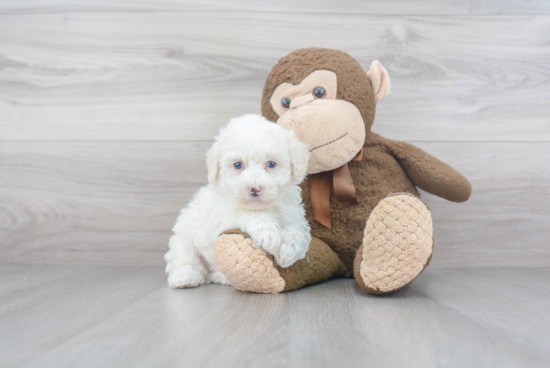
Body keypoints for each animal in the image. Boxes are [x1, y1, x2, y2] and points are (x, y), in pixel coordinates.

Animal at [164, 113, 312, 288]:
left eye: (271, 164)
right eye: (238, 165)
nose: (254, 188)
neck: (264, 207)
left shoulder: (293, 214)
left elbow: (297, 231)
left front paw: (289, 249)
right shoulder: (223, 216)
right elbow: (249, 214)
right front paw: (269, 234)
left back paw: (221, 277)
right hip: (183, 236)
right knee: (184, 258)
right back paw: (185, 277)